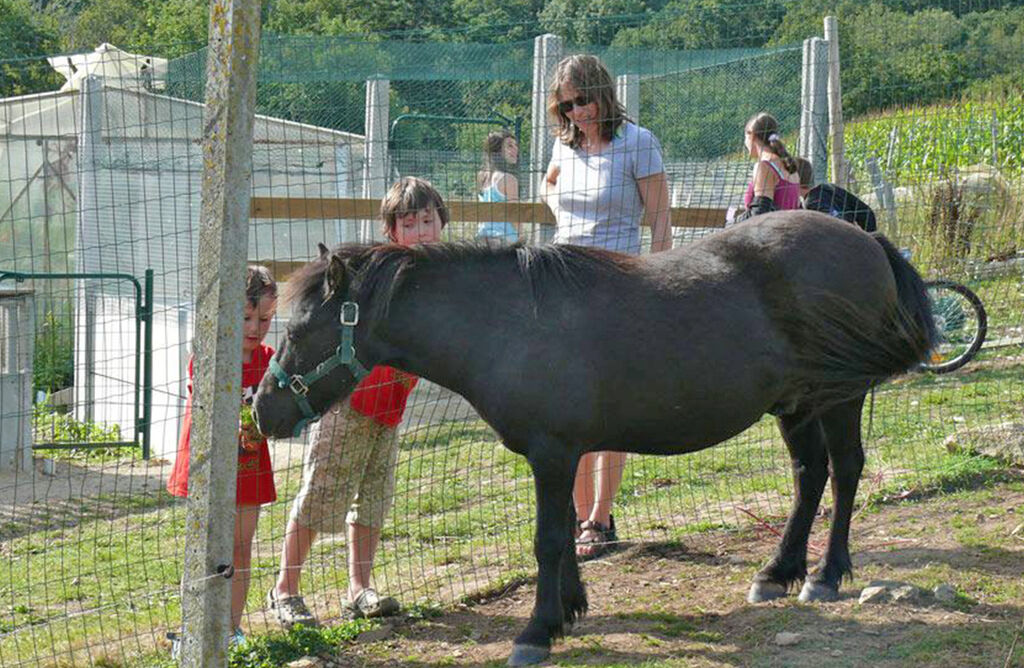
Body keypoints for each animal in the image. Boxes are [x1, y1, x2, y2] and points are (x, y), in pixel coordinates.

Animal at [253, 211, 937, 663]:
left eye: (303, 331)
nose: (262, 411)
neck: (505, 323)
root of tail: (867, 237)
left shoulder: (553, 452)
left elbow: (548, 540)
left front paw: (536, 631)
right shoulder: (559, 454)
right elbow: (563, 535)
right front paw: (568, 610)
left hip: (839, 396)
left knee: (845, 471)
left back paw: (826, 574)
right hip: (796, 404)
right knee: (809, 475)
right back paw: (779, 571)